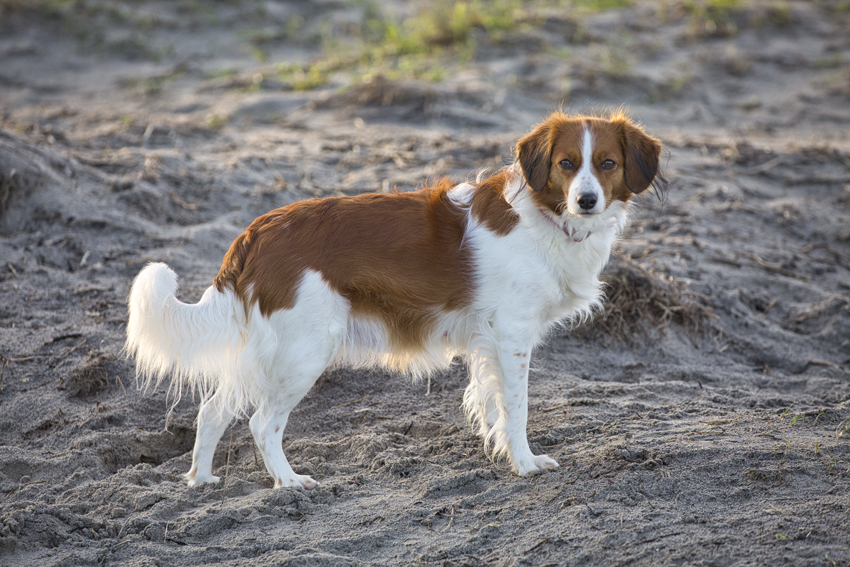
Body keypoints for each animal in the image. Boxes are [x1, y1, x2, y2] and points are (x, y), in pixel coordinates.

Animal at [126, 110, 664, 488]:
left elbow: (490, 402)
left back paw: (201, 479)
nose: (586, 201)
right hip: (304, 350)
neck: (545, 217)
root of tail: (258, 231)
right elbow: (517, 405)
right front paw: (526, 462)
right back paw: (289, 481)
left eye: (607, 164)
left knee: (213, 409)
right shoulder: (512, 334)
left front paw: (499, 450)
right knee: (261, 423)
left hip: (269, 352)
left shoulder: (487, 340)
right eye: (566, 164)